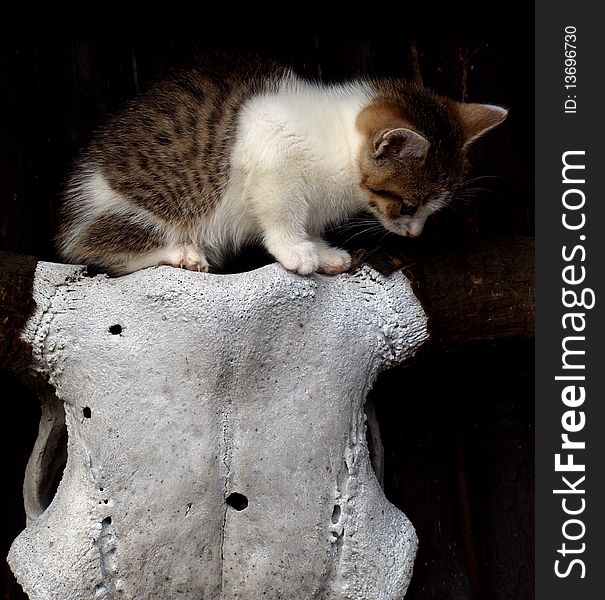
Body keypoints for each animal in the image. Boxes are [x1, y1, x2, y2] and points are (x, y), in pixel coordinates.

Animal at [56, 56, 508, 276]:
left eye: (433, 207)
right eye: (408, 204)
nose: (415, 234)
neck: (338, 141)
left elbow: (309, 222)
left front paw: (322, 250)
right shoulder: (271, 154)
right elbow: (282, 213)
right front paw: (295, 251)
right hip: (147, 208)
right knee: (90, 250)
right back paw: (181, 253)